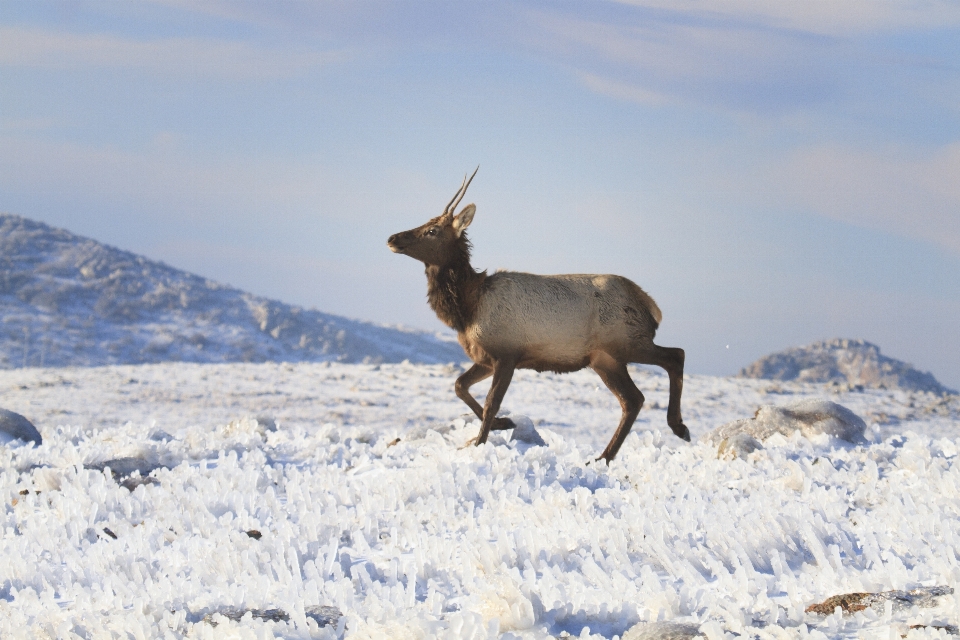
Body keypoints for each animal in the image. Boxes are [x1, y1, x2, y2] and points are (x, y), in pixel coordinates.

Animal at [384, 169, 688, 460]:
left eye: (432, 230)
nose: (392, 238)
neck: (468, 307)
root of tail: (651, 306)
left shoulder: (507, 354)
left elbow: (491, 402)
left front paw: (481, 442)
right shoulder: (486, 357)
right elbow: (460, 385)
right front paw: (504, 424)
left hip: (627, 342)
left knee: (675, 355)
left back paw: (678, 427)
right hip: (605, 359)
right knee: (633, 399)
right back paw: (603, 457)